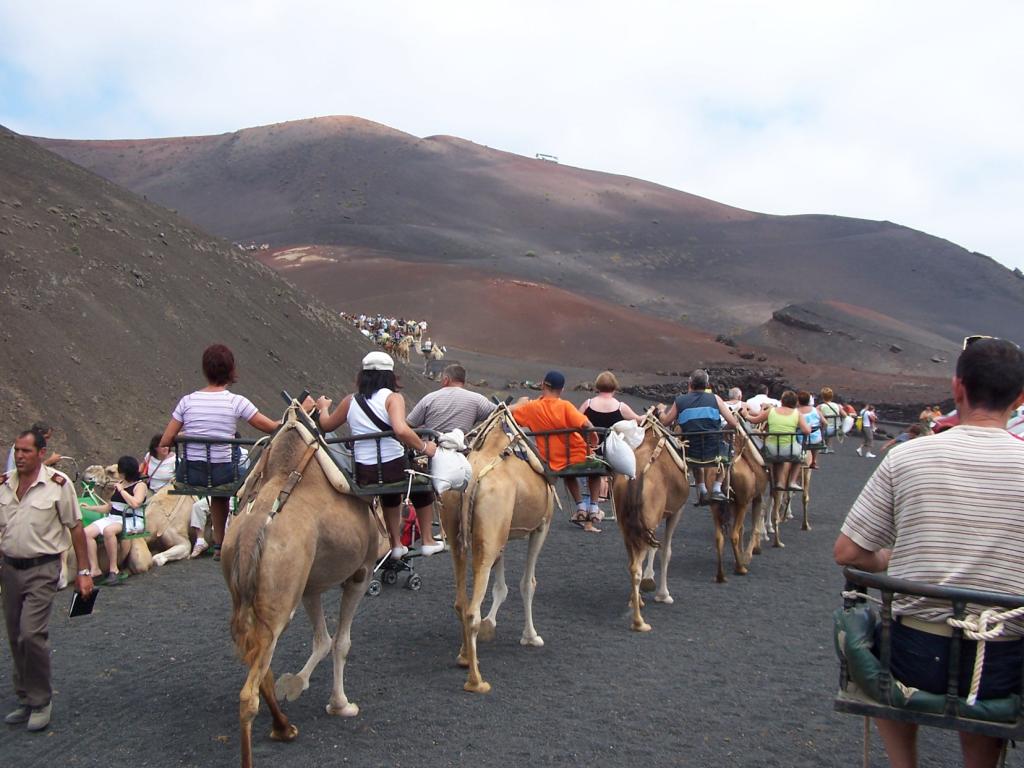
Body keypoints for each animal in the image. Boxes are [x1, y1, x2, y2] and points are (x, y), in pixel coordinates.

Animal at [223, 405, 385, 765]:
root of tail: (254, 531)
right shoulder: (361, 573)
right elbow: (341, 643)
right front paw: (340, 705)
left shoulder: (310, 585)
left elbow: (322, 640)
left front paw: (299, 684)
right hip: (281, 602)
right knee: (248, 694)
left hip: (250, 600)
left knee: (261, 667)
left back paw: (284, 727)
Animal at [438, 409, 552, 696]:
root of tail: (470, 483)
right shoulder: (542, 526)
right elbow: (528, 583)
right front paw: (531, 636)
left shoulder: (501, 533)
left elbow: (501, 585)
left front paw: (493, 625)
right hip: (489, 535)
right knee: (471, 610)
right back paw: (477, 681)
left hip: (462, 538)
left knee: (461, 602)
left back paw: (465, 657)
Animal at [610, 415, 692, 630]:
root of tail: (635, 476)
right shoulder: (675, 512)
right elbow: (666, 551)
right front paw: (663, 594)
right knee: (636, 566)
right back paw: (639, 622)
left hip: (627, 526)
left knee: (632, 564)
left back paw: (636, 602)